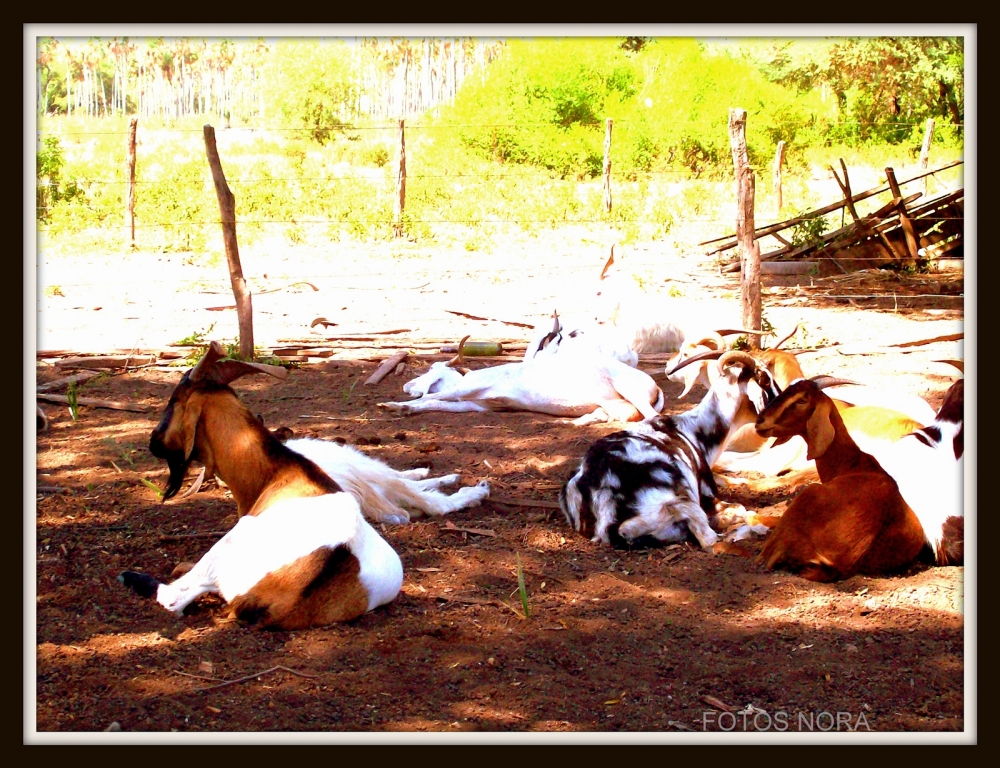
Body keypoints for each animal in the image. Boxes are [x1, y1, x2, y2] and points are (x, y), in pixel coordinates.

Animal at [123, 342, 404, 632]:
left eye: (173, 401)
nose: (153, 441)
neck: (277, 471)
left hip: (229, 547)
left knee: (176, 599)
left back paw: (132, 576)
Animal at [376, 332, 664, 426]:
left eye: (432, 368)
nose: (407, 386)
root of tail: (655, 387)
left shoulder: (473, 386)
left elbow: (434, 396)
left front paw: (393, 405)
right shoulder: (475, 405)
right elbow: (435, 403)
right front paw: (404, 408)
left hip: (628, 389)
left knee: (650, 417)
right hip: (611, 403)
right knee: (618, 414)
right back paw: (575, 422)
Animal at [564, 352, 780, 548]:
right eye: (765, 379)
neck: (692, 431)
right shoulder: (706, 496)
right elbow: (741, 509)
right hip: (682, 502)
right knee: (706, 536)